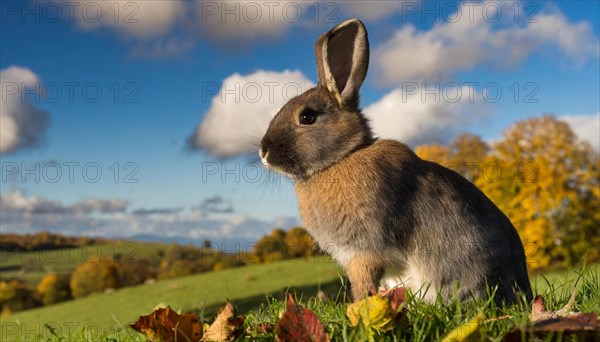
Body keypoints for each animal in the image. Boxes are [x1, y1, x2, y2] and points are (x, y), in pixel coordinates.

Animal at [260, 17, 532, 304]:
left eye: (307, 117)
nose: (263, 151)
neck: (342, 157)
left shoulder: (364, 252)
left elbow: (363, 284)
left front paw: (358, 307)